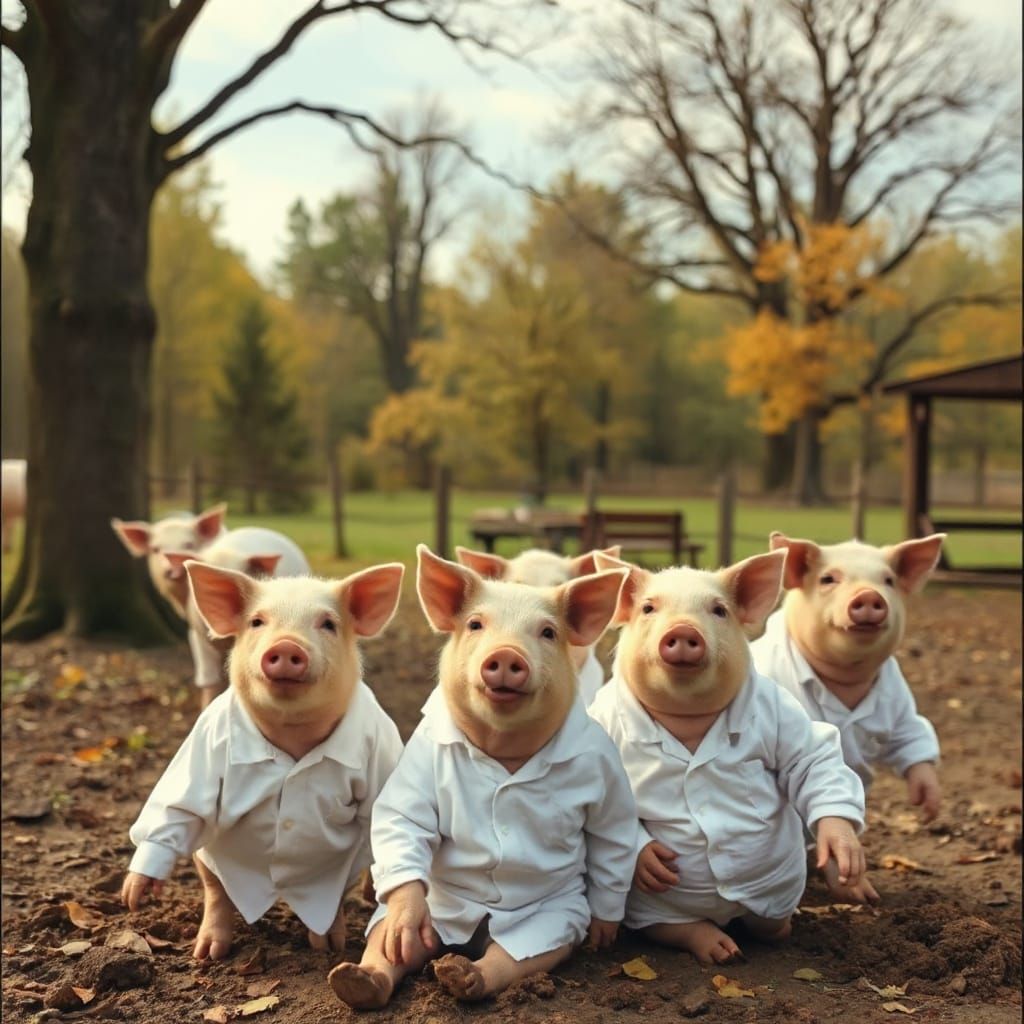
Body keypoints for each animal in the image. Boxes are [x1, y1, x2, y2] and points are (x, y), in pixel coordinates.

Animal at [121, 562, 406, 960]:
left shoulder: (378, 755)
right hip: (207, 853)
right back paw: (209, 953)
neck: (292, 734)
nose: (286, 645)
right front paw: (134, 898)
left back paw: (328, 945)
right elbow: (179, 808)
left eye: (328, 624)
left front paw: (337, 945)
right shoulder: (205, 745)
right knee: (216, 888)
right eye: (257, 622)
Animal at [588, 551, 867, 965]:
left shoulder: (777, 711)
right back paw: (722, 952)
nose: (683, 630)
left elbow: (811, 757)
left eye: (718, 610)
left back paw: (764, 939)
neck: (686, 721)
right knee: (673, 927)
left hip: (778, 894)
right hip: (655, 908)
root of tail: (725, 918)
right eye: (649, 608)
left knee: (768, 923)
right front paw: (654, 862)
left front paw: (844, 859)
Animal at [751, 533, 945, 900]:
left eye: (888, 580)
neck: (843, 682)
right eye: (828, 579)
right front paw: (859, 895)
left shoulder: (898, 697)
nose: (869, 595)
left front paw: (928, 805)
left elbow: (910, 733)